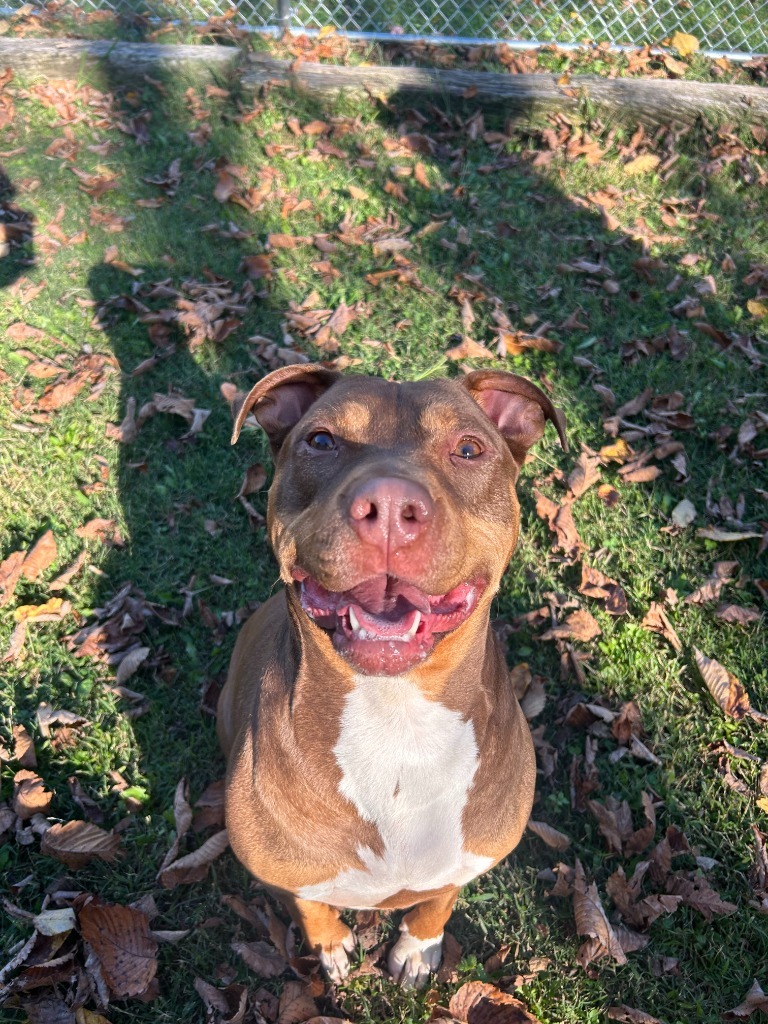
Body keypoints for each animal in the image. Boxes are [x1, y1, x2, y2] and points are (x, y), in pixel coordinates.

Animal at [219, 364, 569, 987]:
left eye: (469, 448)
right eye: (321, 440)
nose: (387, 504)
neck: (395, 714)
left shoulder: (468, 855)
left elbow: (439, 897)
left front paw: (417, 946)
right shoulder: (286, 871)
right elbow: (310, 903)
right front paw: (331, 945)